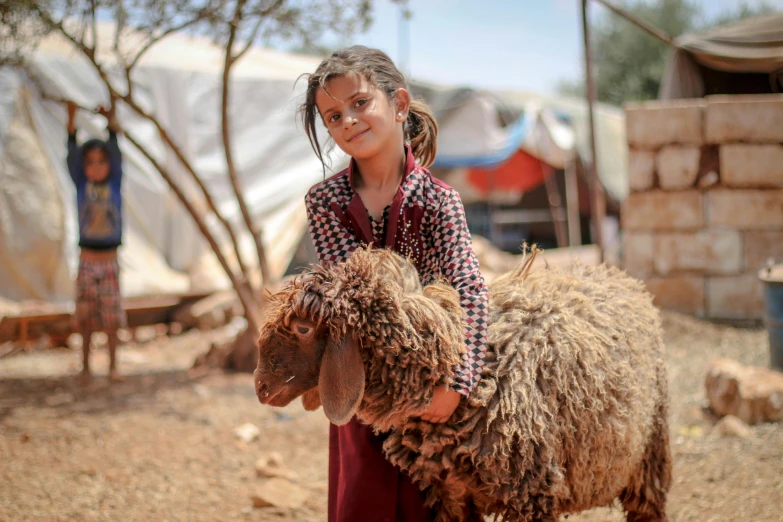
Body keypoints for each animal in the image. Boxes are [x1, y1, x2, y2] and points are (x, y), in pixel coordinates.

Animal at [254, 245, 672, 520]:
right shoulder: (450, 491)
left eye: (303, 328)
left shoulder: (531, 493)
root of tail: (618, 275)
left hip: (650, 452)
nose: (259, 387)